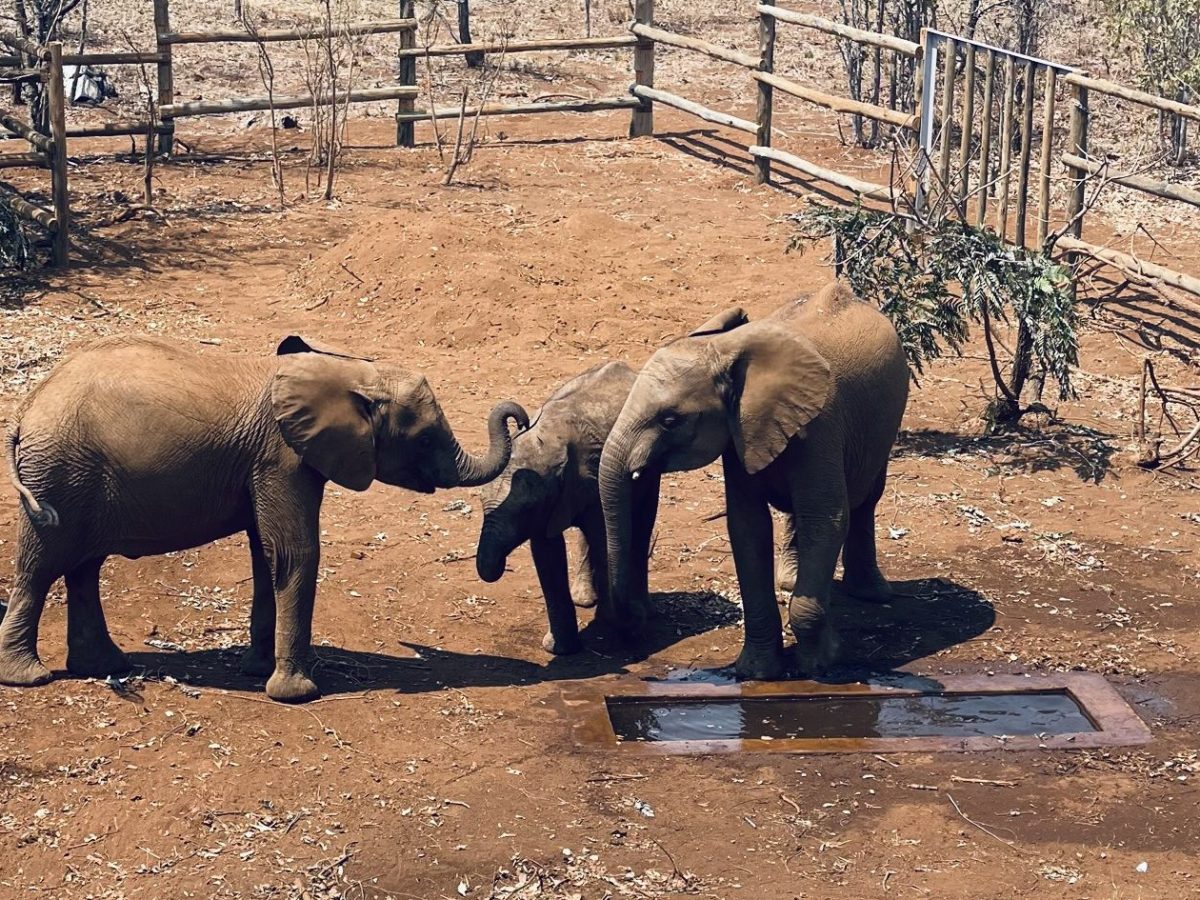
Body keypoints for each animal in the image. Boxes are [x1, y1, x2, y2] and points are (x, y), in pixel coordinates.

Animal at [1, 335, 528, 702]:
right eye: (425, 438)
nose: (519, 417)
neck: (347, 370)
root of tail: (27, 410)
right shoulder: (282, 457)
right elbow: (295, 552)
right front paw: (298, 693)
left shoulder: (272, 463)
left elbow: (265, 554)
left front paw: (259, 669)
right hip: (59, 473)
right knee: (41, 566)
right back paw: (29, 678)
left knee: (83, 566)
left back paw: (105, 665)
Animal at [475, 362, 660, 655]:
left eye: (527, 508)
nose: (522, 421)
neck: (549, 438)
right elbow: (547, 553)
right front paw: (560, 649)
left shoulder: (592, 480)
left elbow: (604, 541)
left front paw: (617, 626)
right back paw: (585, 599)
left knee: (643, 521)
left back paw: (644, 611)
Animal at [598, 283, 909, 680]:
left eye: (670, 420)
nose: (635, 627)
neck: (724, 350)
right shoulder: (738, 433)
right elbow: (748, 526)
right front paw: (757, 672)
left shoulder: (821, 424)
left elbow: (827, 519)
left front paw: (821, 663)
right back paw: (791, 580)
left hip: (886, 421)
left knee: (865, 499)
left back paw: (872, 594)